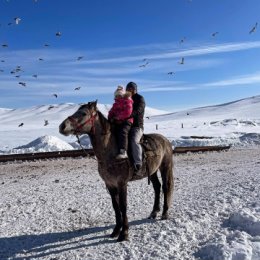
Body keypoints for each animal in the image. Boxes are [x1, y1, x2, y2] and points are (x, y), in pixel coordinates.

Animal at [58, 101, 174, 242]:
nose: (62, 126)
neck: (110, 152)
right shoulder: (110, 184)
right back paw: (153, 212)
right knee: (157, 187)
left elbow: (123, 206)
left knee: (166, 187)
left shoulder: (121, 183)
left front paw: (124, 233)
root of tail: (165, 140)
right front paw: (116, 231)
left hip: (165, 167)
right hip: (152, 171)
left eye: (84, 113)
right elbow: (115, 206)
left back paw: (165, 213)